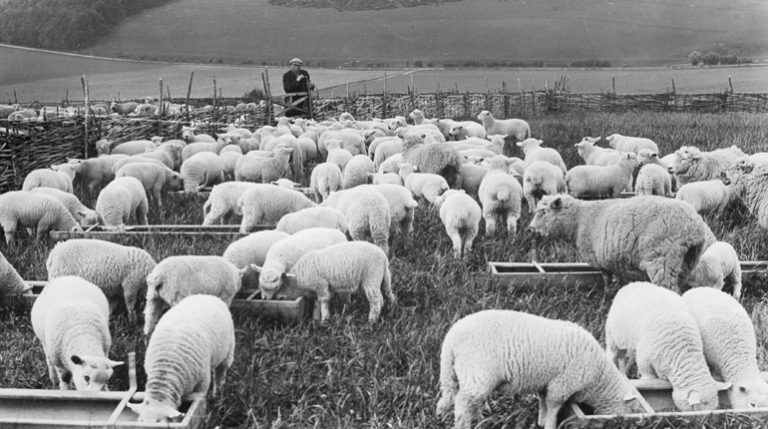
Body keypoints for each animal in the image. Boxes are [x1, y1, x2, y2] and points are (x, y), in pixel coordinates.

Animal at [436, 309, 644, 429]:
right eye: (633, 410)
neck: (598, 378)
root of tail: (451, 338)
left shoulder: (548, 383)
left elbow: (544, 403)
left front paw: (541, 421)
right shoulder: (562, 384)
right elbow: (553, 406)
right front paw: (550, 425)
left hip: (460, 373)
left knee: (457, 399)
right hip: (477, 373)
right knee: (463, 403)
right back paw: (464, 425)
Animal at [529, 194, 716, 291]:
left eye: (543, 212)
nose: (530, 229)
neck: (579, 220)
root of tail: (693, 227)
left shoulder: (599, 259)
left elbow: (606, 277)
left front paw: (607, 291)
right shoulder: (612, 258)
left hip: (662, 259)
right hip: (687, 261)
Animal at [606, 282, 730, 411]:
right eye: (694, 408)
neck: (681, 350)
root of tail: (634, 284)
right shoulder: (644, 359)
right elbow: (648, 377)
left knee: (622, 358)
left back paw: (623, 375)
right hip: (612, 336)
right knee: (612, 354)